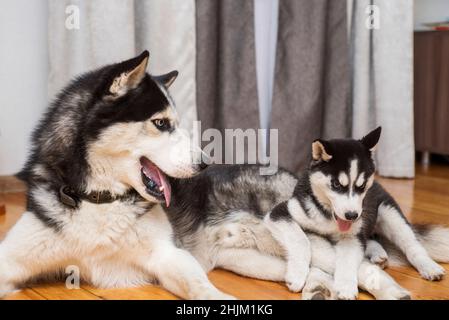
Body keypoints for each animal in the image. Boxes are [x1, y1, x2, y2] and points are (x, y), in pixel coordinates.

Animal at [0, 51, 231, 298]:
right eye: (161, 122)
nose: (205, 163)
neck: (100, 198)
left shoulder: (168, 253)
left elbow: (199, 284)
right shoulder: (11, 255)